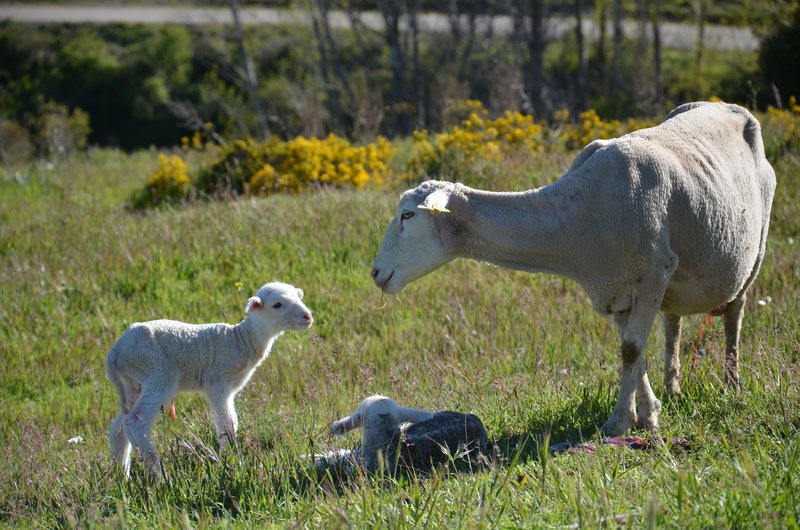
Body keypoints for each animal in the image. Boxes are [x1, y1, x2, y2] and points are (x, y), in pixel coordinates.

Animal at [108, 280, 314, 474]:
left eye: (299, 297)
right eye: (277, 305)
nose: (308, 316)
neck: (242, 340)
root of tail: (115, 351)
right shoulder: (218, 384)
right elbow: (227, 424)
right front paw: (232, 463)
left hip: (133, 384)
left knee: (118, 428)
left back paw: (122, 475)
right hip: (157, 374)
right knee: (135, 422)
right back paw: (156, 475)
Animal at [374, 102, 776, 434]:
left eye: (408, 215)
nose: (376, 273)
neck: (578, 221)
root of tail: (726, 105)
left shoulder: (652, 271)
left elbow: (631, 349)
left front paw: (620, 422)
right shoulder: (617, 289)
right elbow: (634, 351)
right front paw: (648, 413)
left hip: (754, 252)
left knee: (734, 317)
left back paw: (732, 385)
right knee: (672, 324)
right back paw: (673, 388)